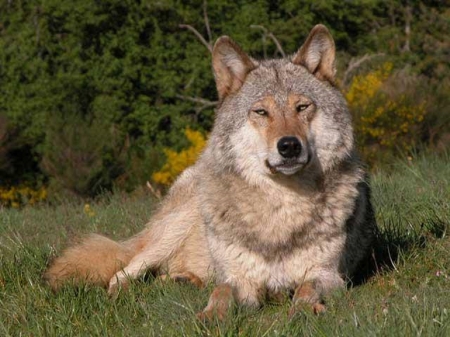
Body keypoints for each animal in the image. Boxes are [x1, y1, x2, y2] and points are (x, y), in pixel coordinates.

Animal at [44, 24, 376, 318]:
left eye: (302, 107)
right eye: (261, 112)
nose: (289, 146)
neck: (280, 207)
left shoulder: (329, 275)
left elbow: (306, 288)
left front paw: (303, 310)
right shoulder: (238, 276)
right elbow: (223, 291)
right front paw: (213, 315)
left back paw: (183, 280)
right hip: (172, 230)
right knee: (122, 273)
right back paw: (125, 294)